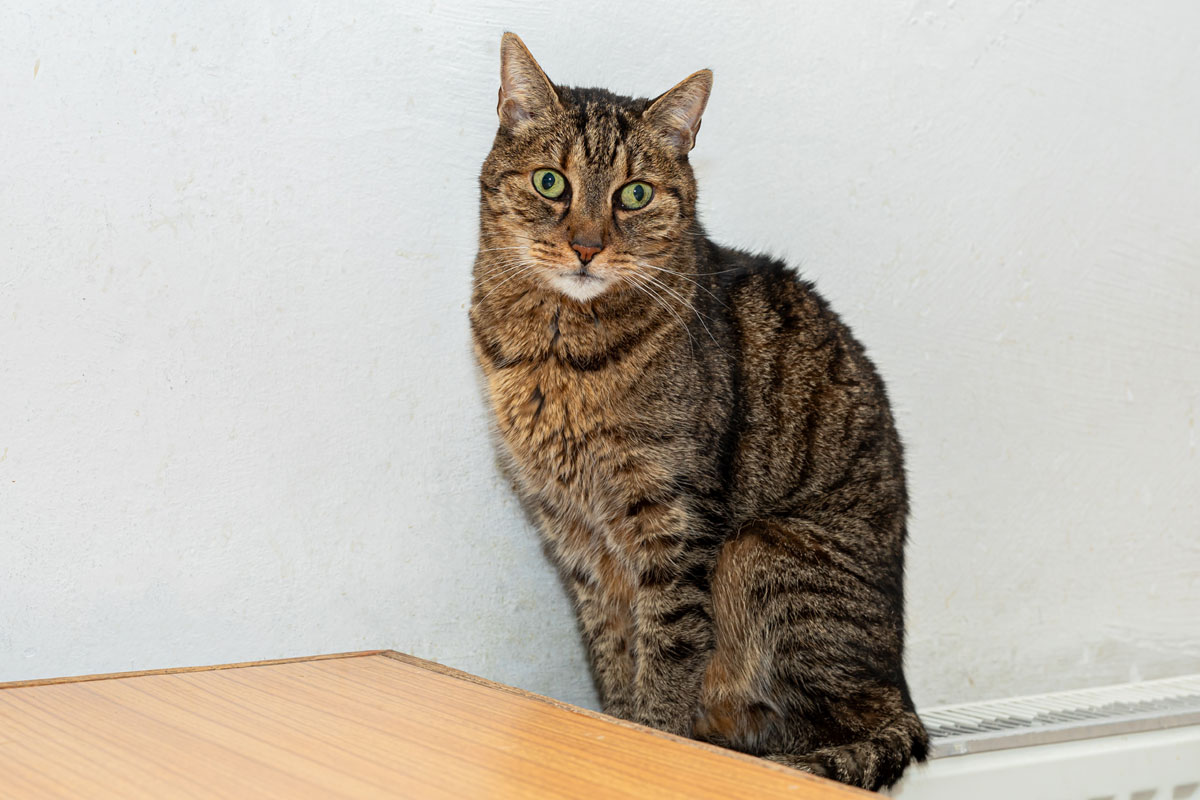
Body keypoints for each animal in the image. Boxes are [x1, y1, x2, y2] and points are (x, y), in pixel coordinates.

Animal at [469, 32, 928, 791]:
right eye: (550, 183)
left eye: (634, 194)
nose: (587, 247)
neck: (559, 352)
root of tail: (905, 694)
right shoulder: (574, 533)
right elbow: (613, 657)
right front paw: (609, 732)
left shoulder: (676, 522)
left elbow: (669, 655)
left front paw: (653, 745)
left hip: (761, 552)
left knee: (829, 736)